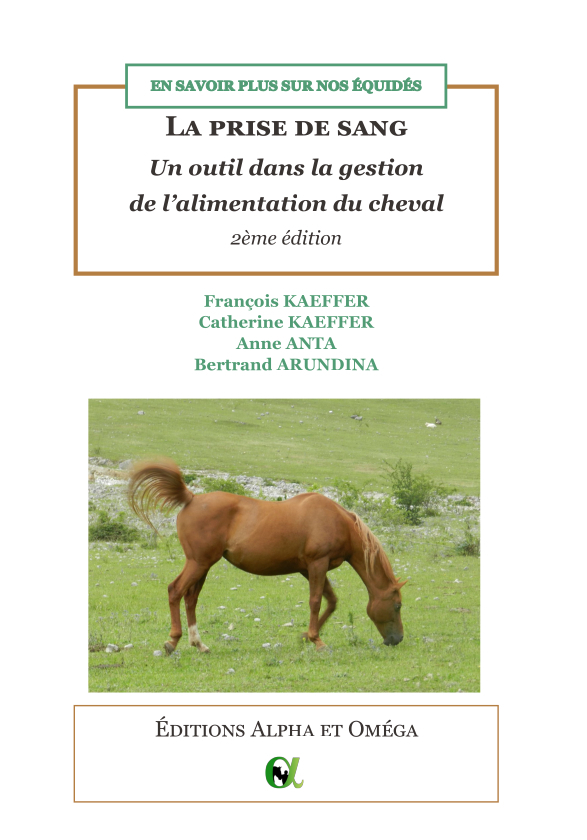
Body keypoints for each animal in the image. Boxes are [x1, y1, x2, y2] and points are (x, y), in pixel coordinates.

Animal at [128, 459, 406, 654]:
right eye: (397, 605)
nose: (397, 639)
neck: (338, 521)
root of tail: (192, 498)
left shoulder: (309, 568)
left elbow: (331, 601)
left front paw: (306, 636)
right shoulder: (318, 563)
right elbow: (316, 601)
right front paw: (317, 641)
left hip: (203, 566)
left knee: (190, 599)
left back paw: (199, 644)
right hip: (198, 563)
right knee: (175, 591)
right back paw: (172, 642)